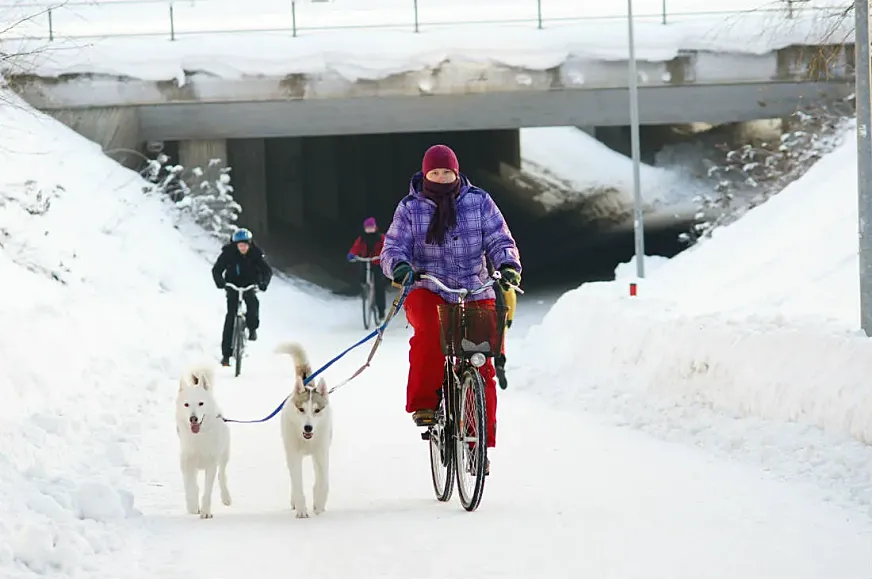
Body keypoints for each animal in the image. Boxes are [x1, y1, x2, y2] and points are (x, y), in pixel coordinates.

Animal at [175, 364, 232, 520]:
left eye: (201, 403)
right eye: (186, 404)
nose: (193, 418)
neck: (199, 438)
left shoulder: (211, 464)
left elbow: (207, 491)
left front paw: (206, 512)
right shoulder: (186, 462)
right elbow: (190, 485)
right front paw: (193, 506)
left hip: (224, 455)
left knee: (222, 475)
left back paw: (226, 497)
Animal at [276, 342, 334, 520]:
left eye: (317, 410)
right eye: (301, 409)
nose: (308, 427)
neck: (307, 440)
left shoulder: (322, 454)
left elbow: (323, 482)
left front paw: (319, 505)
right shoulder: (294, 455)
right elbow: (297, 483)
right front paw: (302, 510)